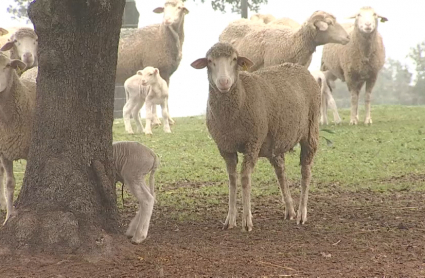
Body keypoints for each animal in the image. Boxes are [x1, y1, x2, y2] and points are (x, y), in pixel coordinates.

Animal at [190, 43, 320, 230]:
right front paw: (230, 219)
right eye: (209, 61)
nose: (224, 82)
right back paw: (290, 210)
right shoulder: (225, 147)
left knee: (306, 171)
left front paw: (247, 221)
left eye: (234, 59)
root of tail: (299, 67)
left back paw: (302, 214)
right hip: (275, 142)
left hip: (310, 130)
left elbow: (245, 178)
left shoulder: (253, 142)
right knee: (281, 171)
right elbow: (232, 179)